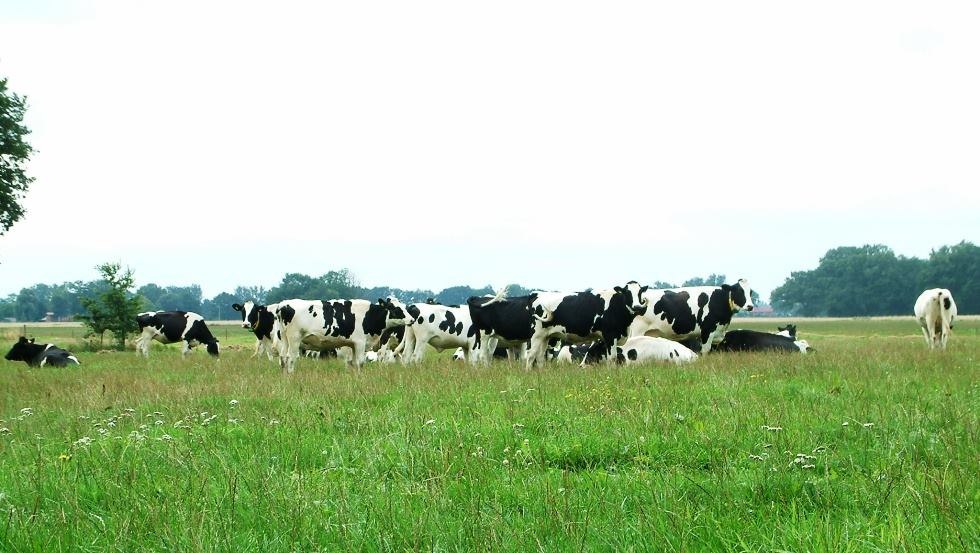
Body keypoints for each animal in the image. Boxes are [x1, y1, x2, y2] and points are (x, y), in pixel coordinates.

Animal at [275, 297, 407, 373]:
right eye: (396, 309)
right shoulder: (360, 343)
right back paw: (291, 376)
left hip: (285, 339)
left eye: (405, 307)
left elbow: (353, 363)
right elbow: (360, 362)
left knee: (282, 357)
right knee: (290, 358)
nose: (411, 319)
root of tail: (283, 304)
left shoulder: (353, 345)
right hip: (294, 339)